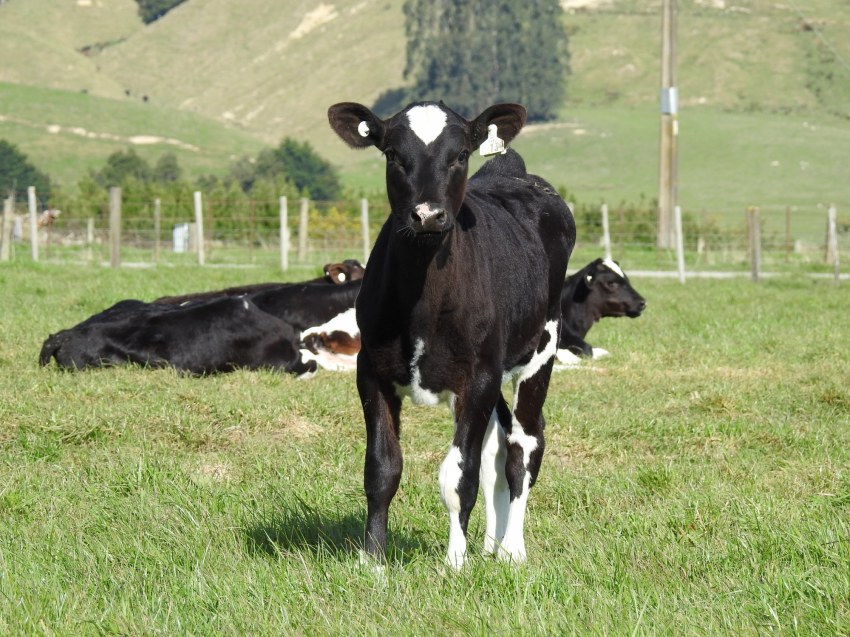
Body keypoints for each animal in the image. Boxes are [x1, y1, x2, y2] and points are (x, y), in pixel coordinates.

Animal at [328, 100, 575, 569]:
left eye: (460, 155)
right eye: (392, 154)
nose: (427, 214)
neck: (423, 302)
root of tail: (511, 171)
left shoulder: (477, 378)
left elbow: (459, 477)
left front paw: (455, 563)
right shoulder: (371, 371)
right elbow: (381, 468)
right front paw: (373, 561)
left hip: (540, 349)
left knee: (524, 445)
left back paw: (511, 549)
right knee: (498, 448)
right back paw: (492, 544)